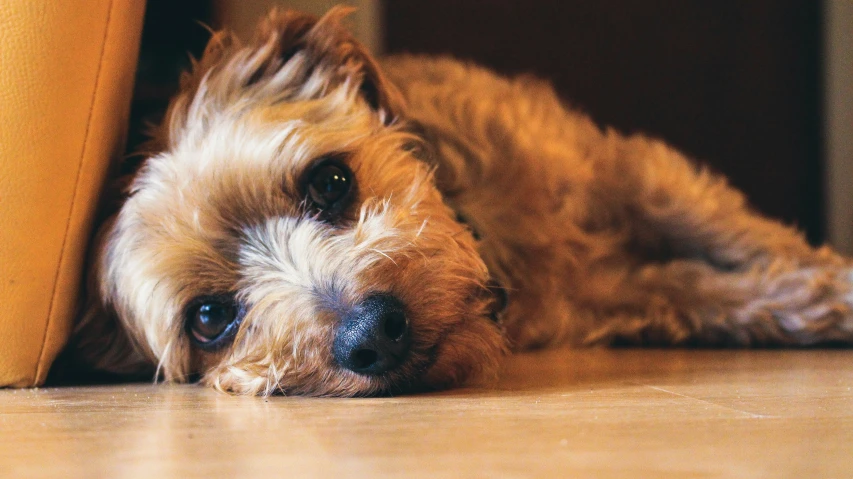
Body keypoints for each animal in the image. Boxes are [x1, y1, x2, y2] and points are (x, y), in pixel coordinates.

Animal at [66, 7, 852, 398]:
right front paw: (807, 301)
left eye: (330, 180)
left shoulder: (625, 171)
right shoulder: (611, 291)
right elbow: (703, 292)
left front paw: (831, 281)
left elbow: (735, 231)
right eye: (209, 319)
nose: (373, 334)